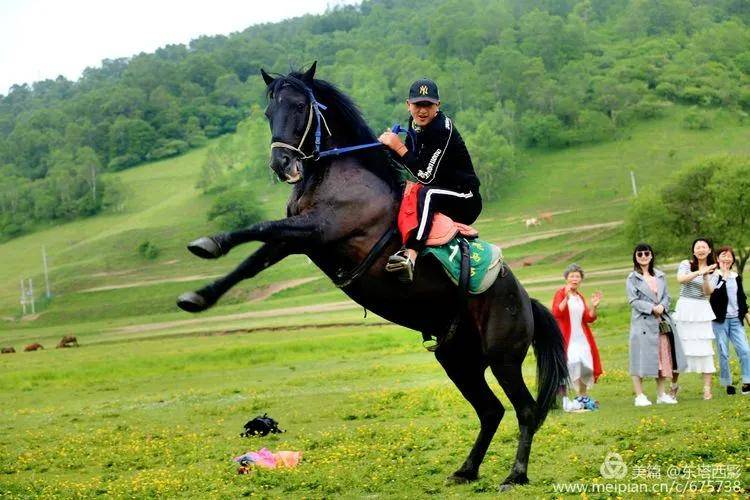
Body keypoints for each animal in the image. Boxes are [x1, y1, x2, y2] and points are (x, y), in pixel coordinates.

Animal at [179, 63, 568, 492]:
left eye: (299, 107)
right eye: (269, 111)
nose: (283, 165)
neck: (335, 173)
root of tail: (525, 299)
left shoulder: (317, 228)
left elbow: (260, 227)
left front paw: (209, 244)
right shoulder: (295, 238)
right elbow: (253, 258)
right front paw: (200, 293)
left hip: (503, 358)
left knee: (525, 410)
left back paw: (515, 475)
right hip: (458, 360)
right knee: (491, 410)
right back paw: (466, 470)